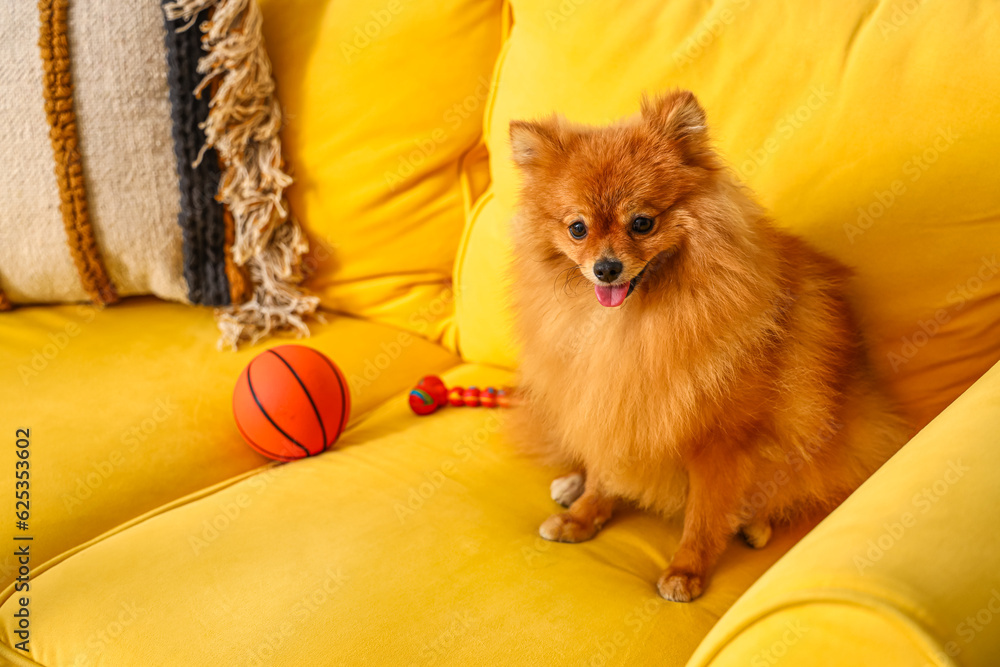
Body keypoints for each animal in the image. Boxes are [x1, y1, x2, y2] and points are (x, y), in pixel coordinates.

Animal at [512, 90, 912, 604]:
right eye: (577, 228)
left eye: (642, 223)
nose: (605, 268)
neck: (635, 324)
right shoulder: (609, 403)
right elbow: (603, 472)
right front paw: (581, 516)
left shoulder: (719, 441)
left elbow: (703, 516)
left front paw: (686, 570)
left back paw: (756, 524)